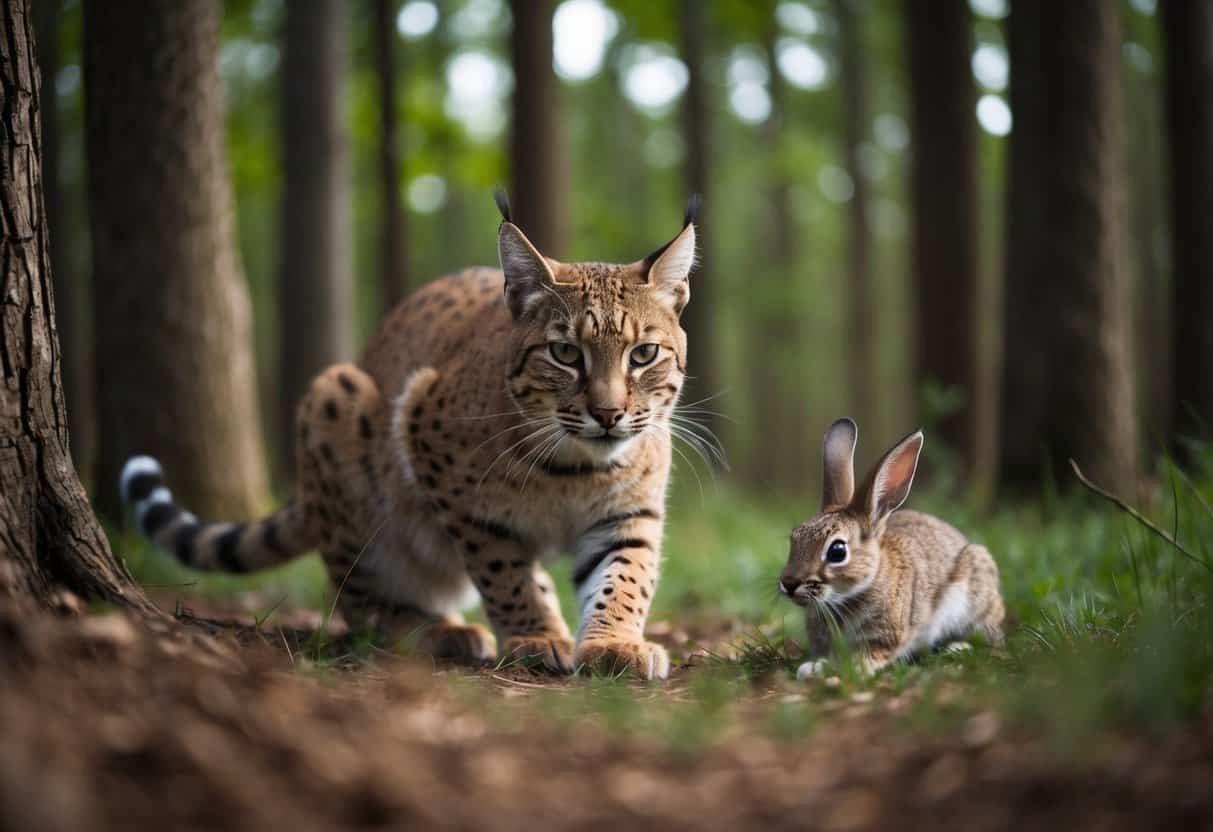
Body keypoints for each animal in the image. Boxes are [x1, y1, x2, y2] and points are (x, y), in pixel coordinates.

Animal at [778, 418, 1005, 679]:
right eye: (794, 538)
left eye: (837, 551)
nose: (789, 583)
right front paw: (813, 669)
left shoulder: (885, 638)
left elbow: (868, 657)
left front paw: (845, 672)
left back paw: (958, 647)